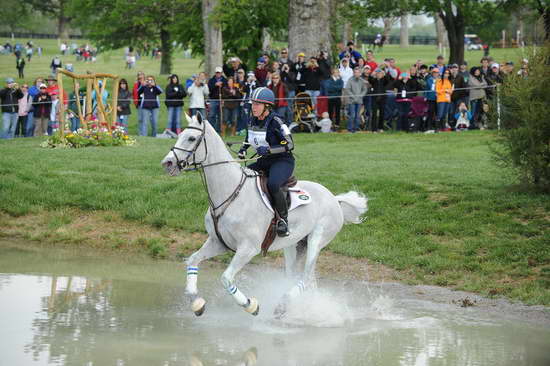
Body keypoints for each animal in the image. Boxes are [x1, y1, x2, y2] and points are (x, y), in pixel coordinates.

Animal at [160, 114, 366, 318]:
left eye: (191, 138)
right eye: (180, 135)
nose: (167, 163)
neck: (230, 193)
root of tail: (334, 198)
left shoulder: (248, 249)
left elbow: (226, 278)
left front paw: (251, 305)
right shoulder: (218, 242)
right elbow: (193, 260)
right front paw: (197, 303)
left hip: (317, 239)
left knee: (307, 277)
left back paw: (283, 305)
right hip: (294, 244)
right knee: (304, 278)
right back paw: (308, 309)